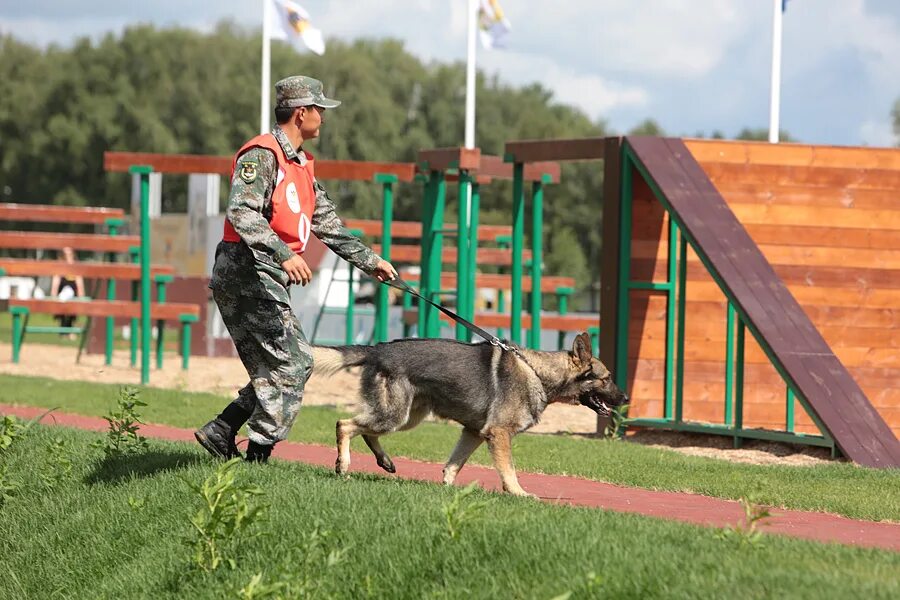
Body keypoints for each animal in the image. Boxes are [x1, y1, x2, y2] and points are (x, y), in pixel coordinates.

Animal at [312, 332, 628, 496]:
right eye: (607, 378)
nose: (626, 398)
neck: (537, 372)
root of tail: (376, 350)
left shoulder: (474, 433)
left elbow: (454, 465)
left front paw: (448, 490)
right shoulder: (498, 434)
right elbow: (509, 470)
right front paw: (519, 494)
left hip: (406, 418)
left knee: (364, 430)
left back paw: (385, 461)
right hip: (395, 416)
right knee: (344, 424)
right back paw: (343, 465)